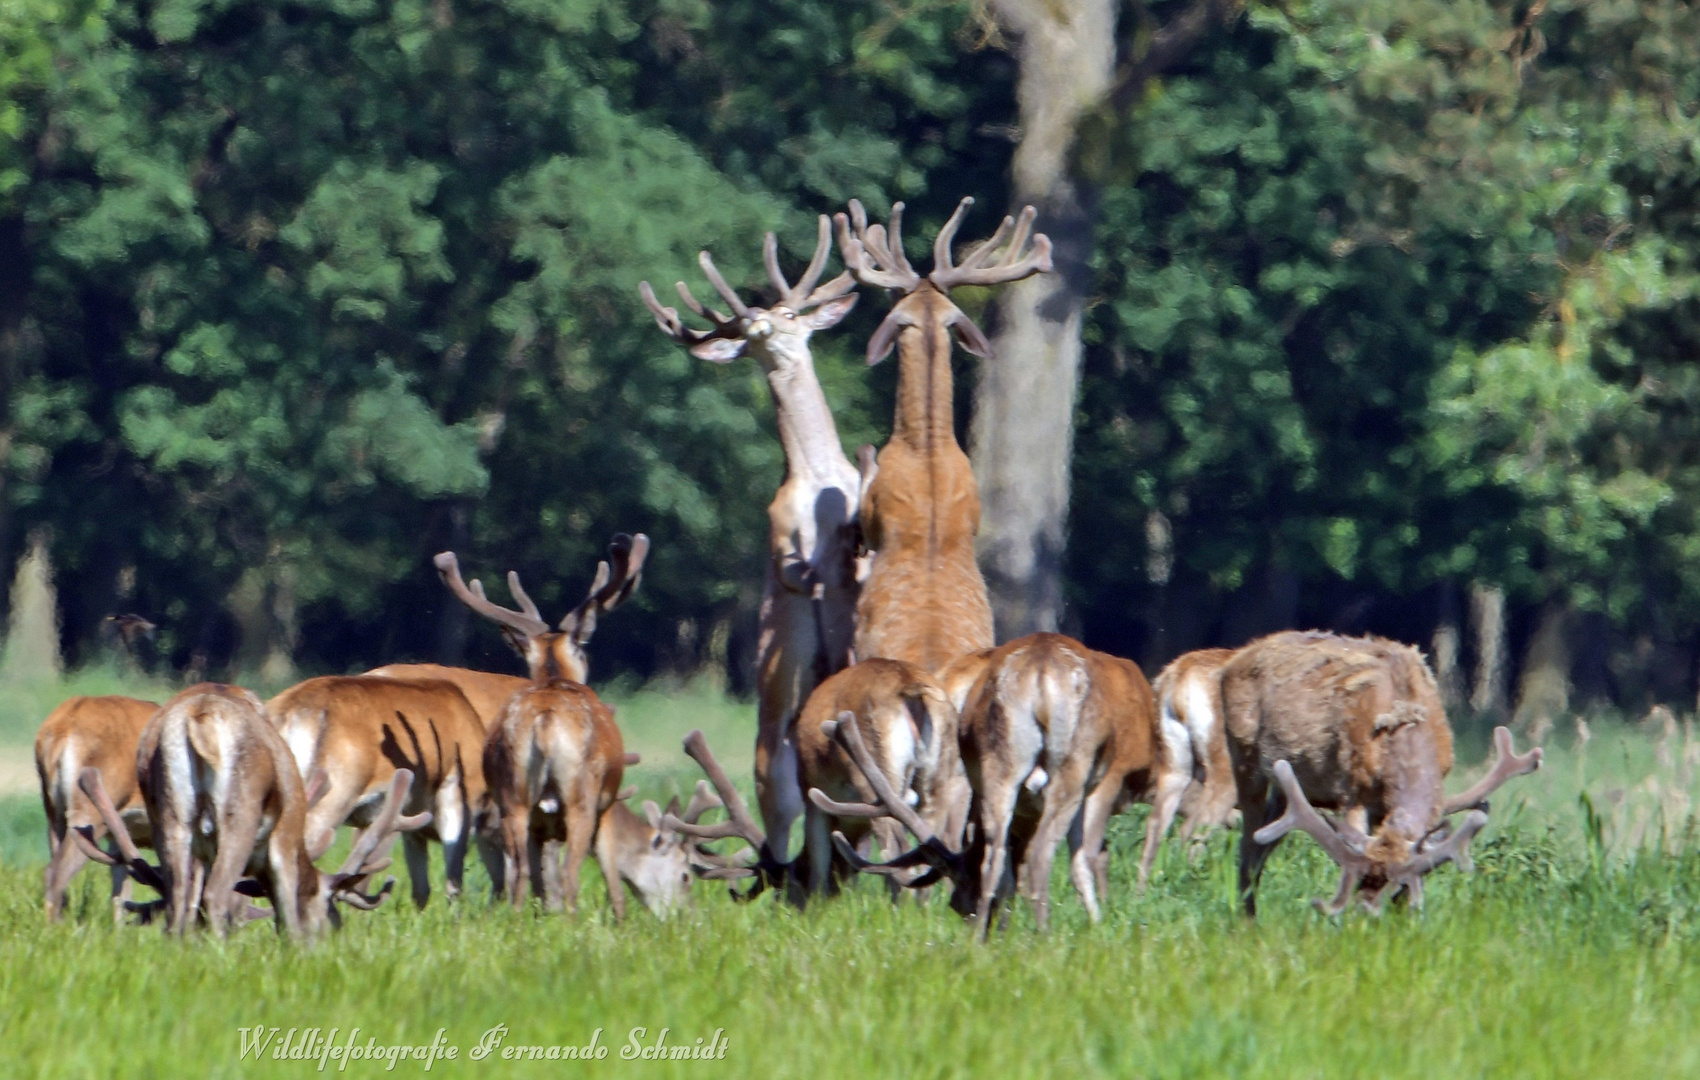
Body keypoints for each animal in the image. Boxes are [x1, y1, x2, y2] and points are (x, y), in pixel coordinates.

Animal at [74, 683, 431, 938]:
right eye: (329, 918)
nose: (330, 942)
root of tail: (199, 717)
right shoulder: (285, 833)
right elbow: (286, 907)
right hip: (239, 812)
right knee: (215, 894)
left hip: (170, 815)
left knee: (179, 897)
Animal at [646, 217, 870, 860]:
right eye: (749, 330)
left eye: (792, 312)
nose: (768, 329)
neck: (819, 476)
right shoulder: (778, 538)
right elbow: (796, 570)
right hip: (773, 755)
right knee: (780, 817)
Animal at [1217, 629, 1550, 918]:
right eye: (1359, 879)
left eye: (1400, 887)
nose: (1365, 912)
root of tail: (1235, 659)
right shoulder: (1353, 789)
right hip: (1244, 757)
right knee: (1248, 848)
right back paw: (1247, 920)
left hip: (1286, 790)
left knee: (1264, 842)